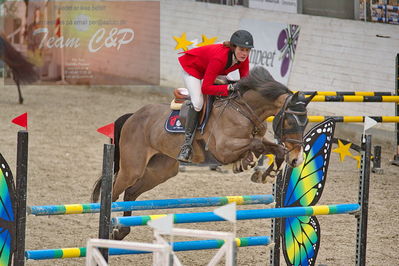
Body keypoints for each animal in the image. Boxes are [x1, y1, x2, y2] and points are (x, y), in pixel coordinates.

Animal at [92, 66, 318, 239]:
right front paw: (248, 163)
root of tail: (132, 116)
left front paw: (266, 174)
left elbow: (274, 147)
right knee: (114, 191)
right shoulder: (223, 149)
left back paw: (120, 232)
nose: (297, 159)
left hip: (161, 170)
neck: (244, 109)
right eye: (289, 121)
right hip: (133, 167)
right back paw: (108, 231)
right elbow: (256, 145)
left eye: (306, 121)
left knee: (131, 192)